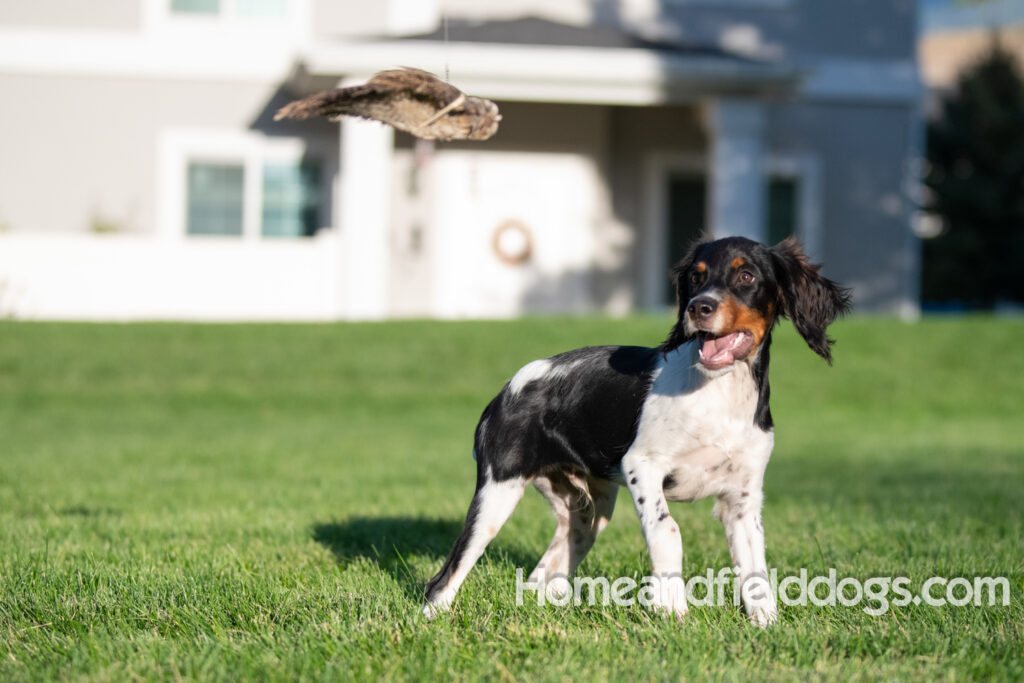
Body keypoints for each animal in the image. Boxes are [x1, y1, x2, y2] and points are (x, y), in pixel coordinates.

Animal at [419, 237, 851, 626]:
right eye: (696, 278)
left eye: (746, 276)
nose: (699, 307)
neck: (718, 391)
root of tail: (506, 390)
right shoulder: (642, 465)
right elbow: (668, 530)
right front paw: (672, 610)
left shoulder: (743, 498)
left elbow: (754, 565)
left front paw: (766, 623)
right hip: (496, 494)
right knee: (443, 579)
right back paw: (433, 622)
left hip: (587, 513)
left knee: (543, 576)